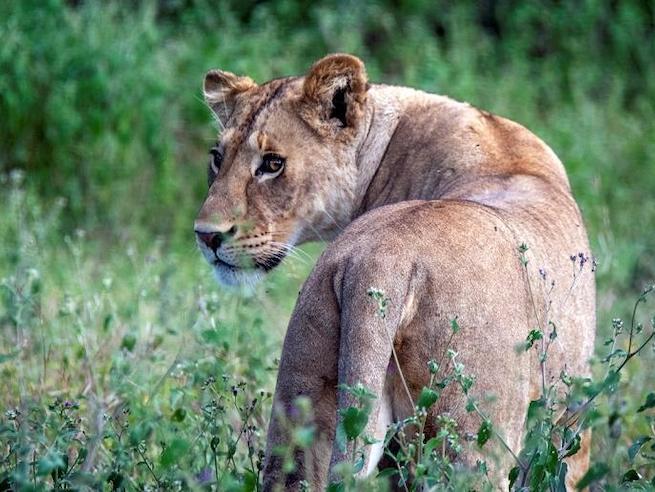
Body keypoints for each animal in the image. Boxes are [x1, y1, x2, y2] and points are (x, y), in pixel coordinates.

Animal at [194, 54, 596, 490]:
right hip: (475, 438)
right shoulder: (573, 421)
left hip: (304, 392)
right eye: (218, 157)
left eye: (272, 164)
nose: (206, 236)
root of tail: (378, 259)